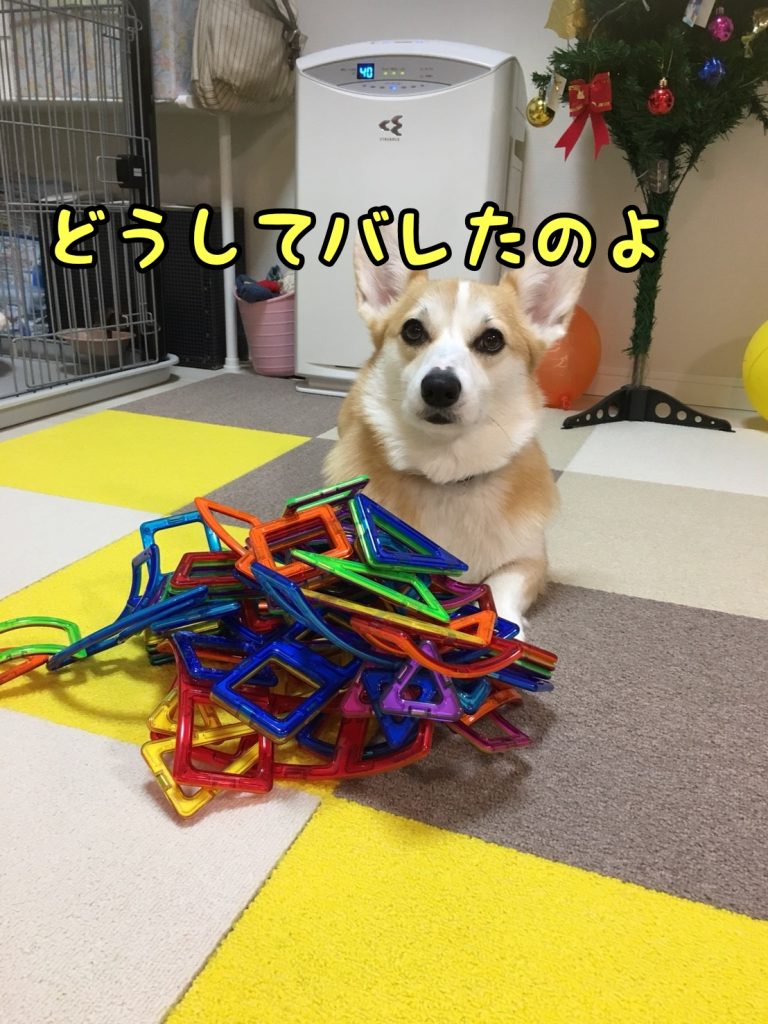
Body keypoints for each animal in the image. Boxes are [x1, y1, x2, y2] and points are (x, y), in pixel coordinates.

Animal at [324, 229, 586, 636]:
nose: (440, 387)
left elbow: (501, 586)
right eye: (413, 331)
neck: (446, 472)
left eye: (491, 340)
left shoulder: (529, 562)